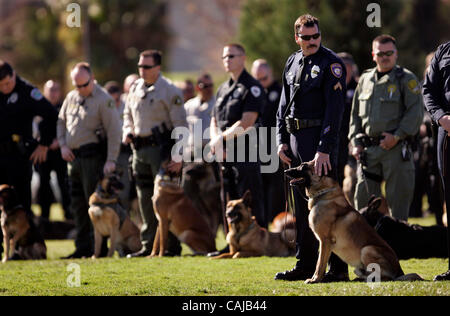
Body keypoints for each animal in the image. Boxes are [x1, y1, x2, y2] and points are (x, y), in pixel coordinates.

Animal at [284, 162, 422, 282]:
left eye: (303, 166)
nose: (285, 171)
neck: (323, 194)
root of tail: (399, 271)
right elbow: (320, 263)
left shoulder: (324, 241)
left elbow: (320, 264)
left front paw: (315, 280)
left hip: (367, 249)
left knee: (385, 278)